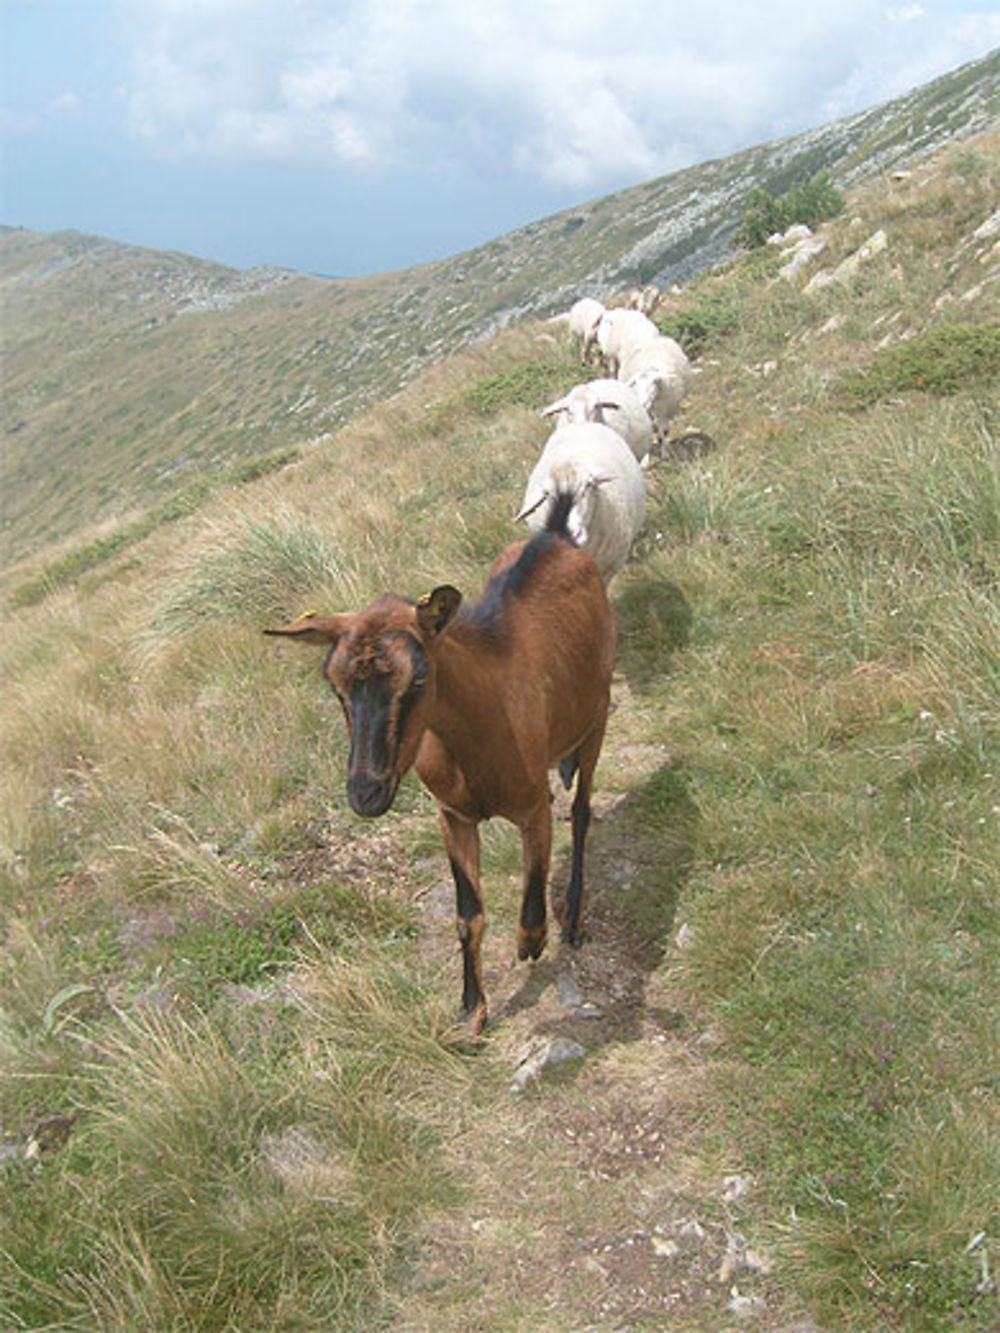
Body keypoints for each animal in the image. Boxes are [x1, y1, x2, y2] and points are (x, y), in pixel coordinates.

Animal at [266, 501, 616, 1029]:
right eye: (335, 687)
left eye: (418, 679)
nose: (365, 793)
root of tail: (555, 534)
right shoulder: (452, 816)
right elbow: (467, 914)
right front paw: (471, 1009)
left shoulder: (533, 806)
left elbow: (533, 898)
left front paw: (532, 943)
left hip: (598, 710)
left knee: (580, 811)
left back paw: (573, 918)